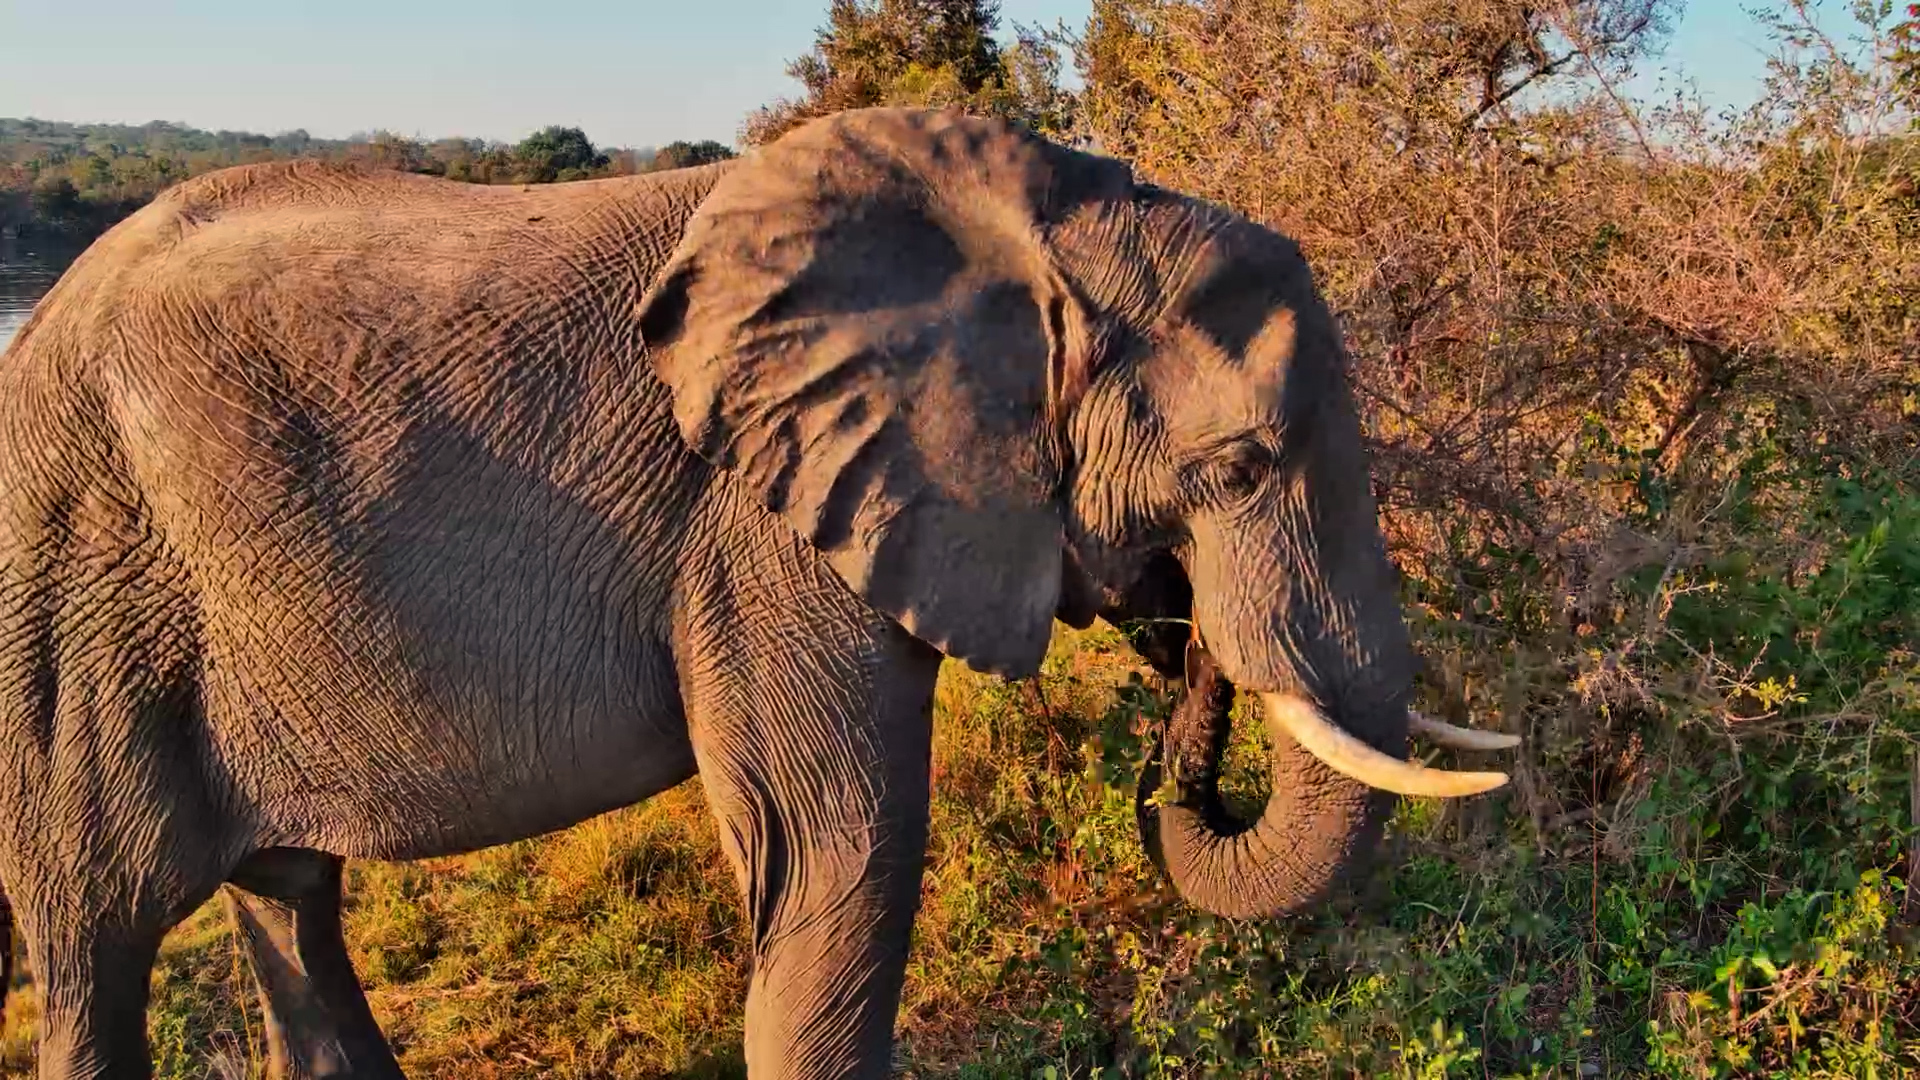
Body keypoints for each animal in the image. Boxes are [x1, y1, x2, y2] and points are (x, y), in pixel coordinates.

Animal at [0, 105, 1518, 1080]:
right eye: (1241, 467)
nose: (1184, 629)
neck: (1052, 215)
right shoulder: (759, 523)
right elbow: (840, 846)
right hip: (68, 600)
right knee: (93, 941)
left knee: (289, 907)